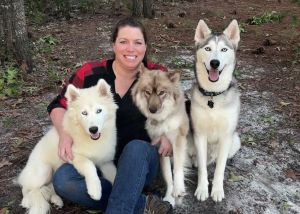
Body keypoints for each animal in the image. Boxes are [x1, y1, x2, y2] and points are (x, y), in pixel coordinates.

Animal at [16, 79, 117, 214]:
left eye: (99, 111)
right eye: (84, 113)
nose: (93, 129)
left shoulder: (106, 162)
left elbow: (115, 176)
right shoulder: (74, 155)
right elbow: (89, 165)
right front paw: (95, 190)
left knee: (49, 187)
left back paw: (56, 200)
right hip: (43, 170)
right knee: (27, 187)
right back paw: (27, 200)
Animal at [191, 19, 243, 202]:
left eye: (224, 49)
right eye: (207, 49)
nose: (215, 62)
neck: (213, 95)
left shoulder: (226, 136)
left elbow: (220, 168)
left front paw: (217, 190)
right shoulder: (199, 135)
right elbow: (202, 169)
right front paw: (202, 188)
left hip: (235, 140)